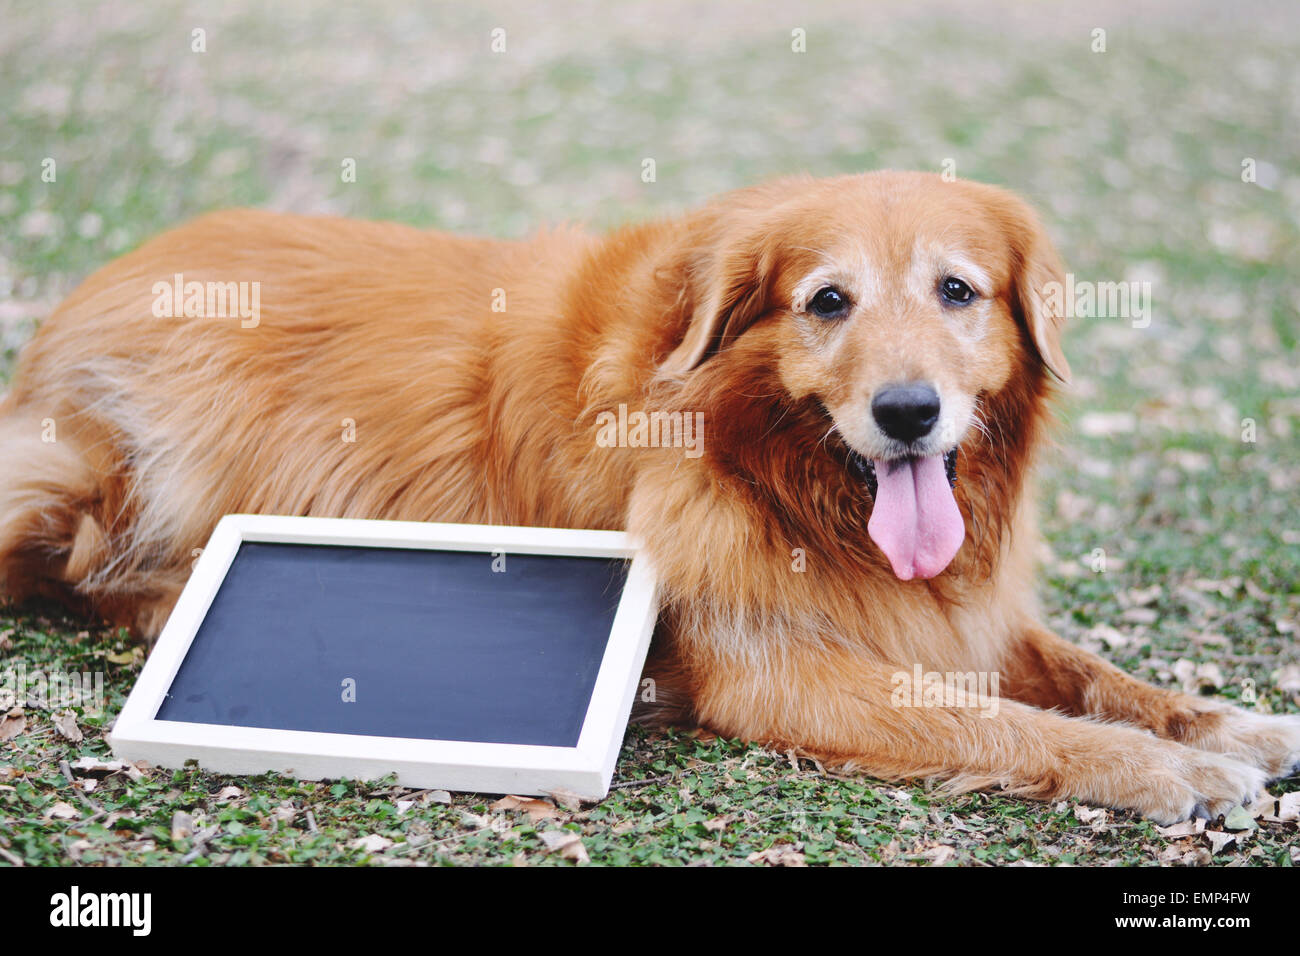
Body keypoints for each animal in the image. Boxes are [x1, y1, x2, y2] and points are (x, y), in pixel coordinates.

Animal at [0, 174, 1294, 822]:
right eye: (828, 301)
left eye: (957, 290)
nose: (908, 411)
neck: (768, 464)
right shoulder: (774, 665)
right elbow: (1003, 719)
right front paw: (1164, 772)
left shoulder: (949, 608)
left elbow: (1083, 671)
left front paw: (1215, 722)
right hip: (75, 480)